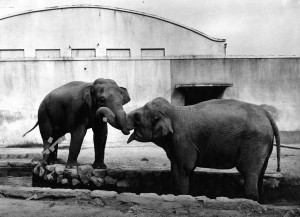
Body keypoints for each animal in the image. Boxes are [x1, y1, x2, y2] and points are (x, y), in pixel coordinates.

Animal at [98, 97, 282, 202]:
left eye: (136, 117)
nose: (100, 116)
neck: (173, 111)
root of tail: (268, 115)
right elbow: (175, 169)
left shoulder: (182, 141)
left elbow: (184, 169)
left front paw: (182, 196)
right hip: (263, 143)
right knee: (260, 172)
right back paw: (260, 199)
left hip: (254, 141)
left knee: (248, 171)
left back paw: (251, 199)